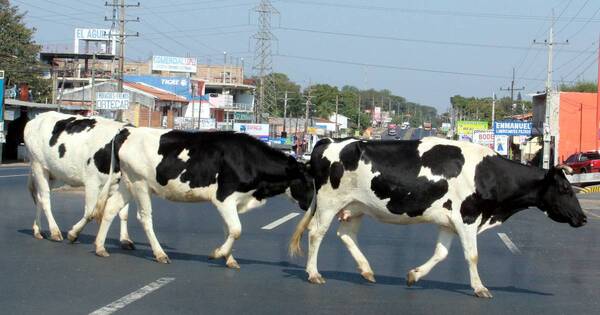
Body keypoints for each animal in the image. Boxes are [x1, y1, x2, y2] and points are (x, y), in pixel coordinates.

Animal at [24, 112, 134, 248]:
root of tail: (37, 118)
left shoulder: (123, 186)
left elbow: (123, 213)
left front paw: (125, 239)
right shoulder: (92, 182)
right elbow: (90, 212)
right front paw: (73, 234)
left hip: (53, 174)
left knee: (39, 197)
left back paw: (38, 230)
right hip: (38, 165)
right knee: (44, 199)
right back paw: (54, 232)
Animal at [92, 127, 314, 268]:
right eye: (309, 182)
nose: (314, 205)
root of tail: (127, 131)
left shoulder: (231, 202)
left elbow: (229, 230)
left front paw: (229, 259)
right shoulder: (224, 197)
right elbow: (236, 229)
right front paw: (219, 253)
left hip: (127, 183)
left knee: (110, 208)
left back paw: (100, 247)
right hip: (140, 184)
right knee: (144, 217)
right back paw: (160, 254)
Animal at [290, 138, 584, 298]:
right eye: (565, 189)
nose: (583, 218)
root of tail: (331, 142)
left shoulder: (449, 222)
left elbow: (441, 254)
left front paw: (414, 275)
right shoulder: (467, 217)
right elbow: (472, 255)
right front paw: (480, 288)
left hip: (356, 206)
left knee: (345, 234)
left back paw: (367, 270)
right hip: (329, 203)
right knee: (316, 233)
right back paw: (314, 274)